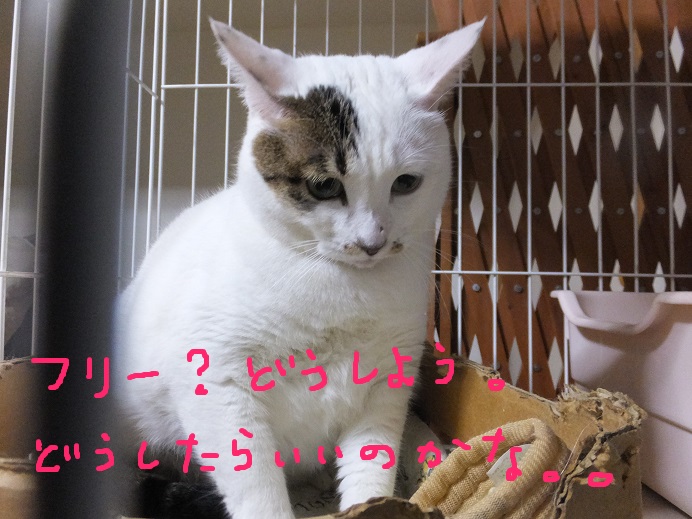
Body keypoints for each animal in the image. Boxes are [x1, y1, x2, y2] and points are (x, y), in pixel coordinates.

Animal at [114, 17, 484, 519]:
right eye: (324, 186)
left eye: (406, 183)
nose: (372, 242)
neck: (338, 286)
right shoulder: (218, 382)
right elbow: (256, 486)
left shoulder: (386, 386)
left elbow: (371, 466)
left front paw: (373, 503)